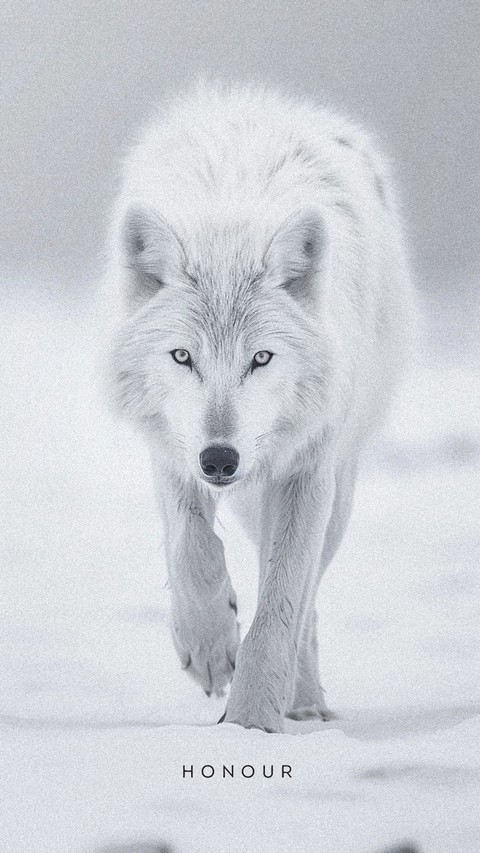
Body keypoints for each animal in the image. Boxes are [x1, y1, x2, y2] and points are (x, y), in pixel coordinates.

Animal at [105, 82, 415, 733]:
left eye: (262, 358)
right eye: (182, 356)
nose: (220, 460)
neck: (232, 217)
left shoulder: (306, 473)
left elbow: (281, 606)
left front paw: (249, 724)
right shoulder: (171, 452)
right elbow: (191, 547)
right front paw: (209, 646)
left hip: (331, 491)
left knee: (309, 597)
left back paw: (306, 703)